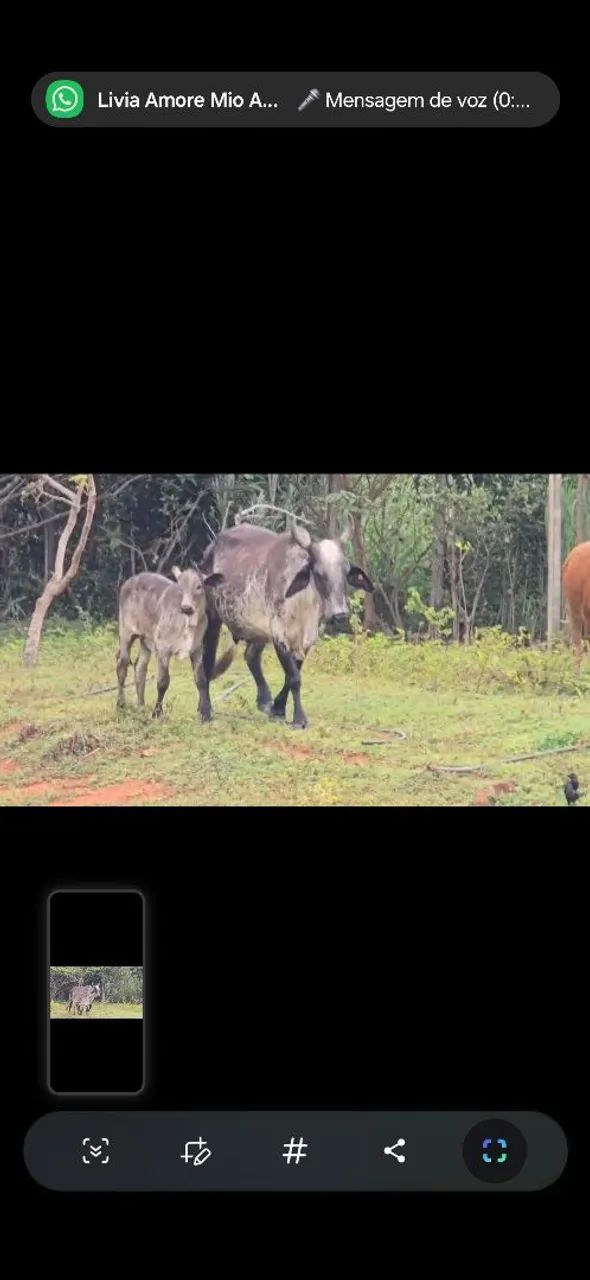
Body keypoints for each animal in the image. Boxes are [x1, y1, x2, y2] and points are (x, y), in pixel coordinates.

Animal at [116, 566, 230, 721]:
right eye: (180, 587)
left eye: (199, 586)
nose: (186, 607)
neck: (187, 623)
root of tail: (130, 581)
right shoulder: (164, 649)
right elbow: (163, 682)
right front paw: (157, 713)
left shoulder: (197, 649)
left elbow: (201, 679)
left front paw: (205, 714)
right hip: (126, 633)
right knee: (122, 665)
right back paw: (121, 704)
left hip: (146, 640)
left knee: (140, 667)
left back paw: (141, 705)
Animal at [200, 520, 374, 729]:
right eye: (318, 573)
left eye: (345, 573)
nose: (340, 615)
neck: (305, 602)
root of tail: (212, 546)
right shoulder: (279, 635)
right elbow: (294, 678)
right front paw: (299, 719)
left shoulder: (307, 640)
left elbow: (291, 675)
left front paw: (278, 708)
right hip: (212, 617)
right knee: (207, 661)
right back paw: (205, 710)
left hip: (258, 629)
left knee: (250, 656)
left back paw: (264, 700)